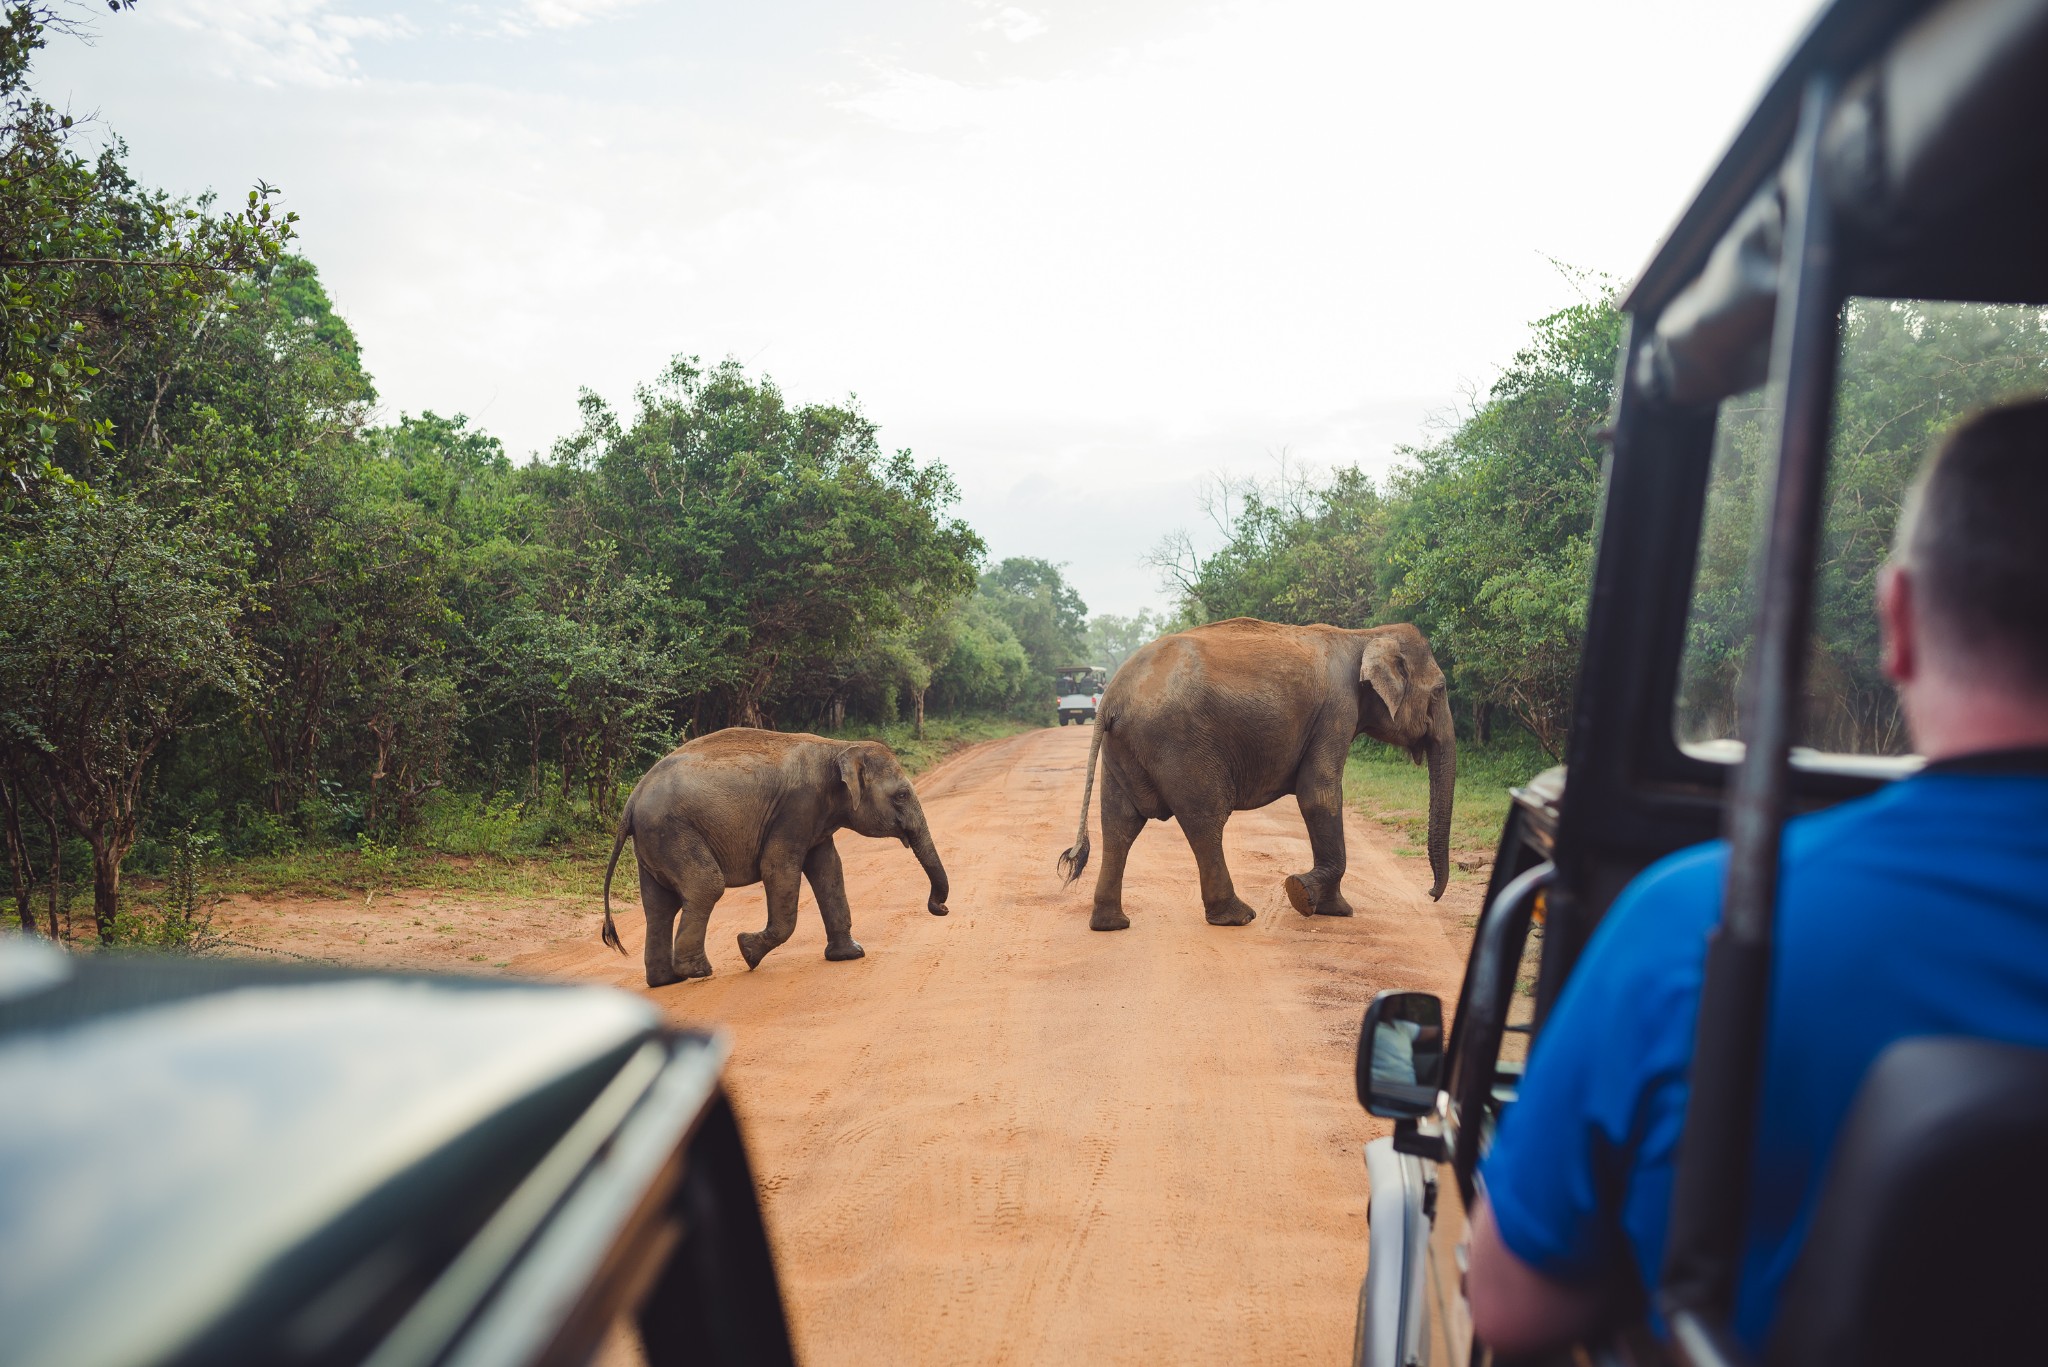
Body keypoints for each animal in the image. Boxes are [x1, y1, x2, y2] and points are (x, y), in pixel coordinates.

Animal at [598, 733, 950, 987]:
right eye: (901, 795)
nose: (941, 909)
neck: (837, 748)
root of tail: (631, 801)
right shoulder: (797, 807)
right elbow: (778, 867)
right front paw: (747, 951)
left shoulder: (815, 818)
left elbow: (829, 870)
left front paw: (850, 956)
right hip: (672, 832)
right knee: (706, 886)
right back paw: (697, 973)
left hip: (654, 842)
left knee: (659, 906)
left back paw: (665, 981)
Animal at [1056, 618, 1458, 930]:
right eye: (1440, 690)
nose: (1430, 894)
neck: (1363, 635)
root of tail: (1110, 697)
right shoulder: (1336, 711)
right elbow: (1319, 795)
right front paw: (1309, 897)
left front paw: (1325, 905)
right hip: (1178, 745)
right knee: (1205, 820)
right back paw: (1237, 917)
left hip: (1122, 750)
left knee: (1120, 824)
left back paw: (1111, 924)